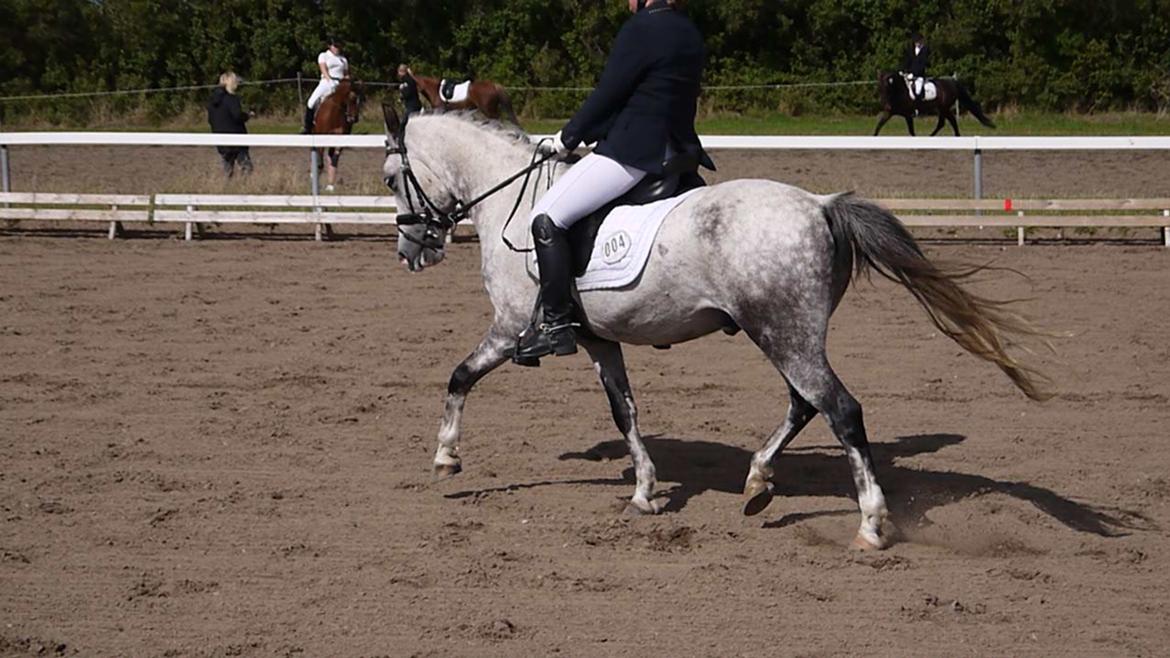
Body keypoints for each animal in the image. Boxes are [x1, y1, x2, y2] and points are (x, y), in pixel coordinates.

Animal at [382, 108, 1048, 551]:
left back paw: (870, 524)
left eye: (391, 178)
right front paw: (645, 492)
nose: (411, 252)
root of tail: (820, 204)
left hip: (780, 332)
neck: (513, 202)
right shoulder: (600, 341)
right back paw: (757, 481)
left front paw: (445, 457)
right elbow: (625, 412)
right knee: (805, 405)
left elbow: (459, 376)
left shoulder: (510, 328)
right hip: (787, 333)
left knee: (840, 410)